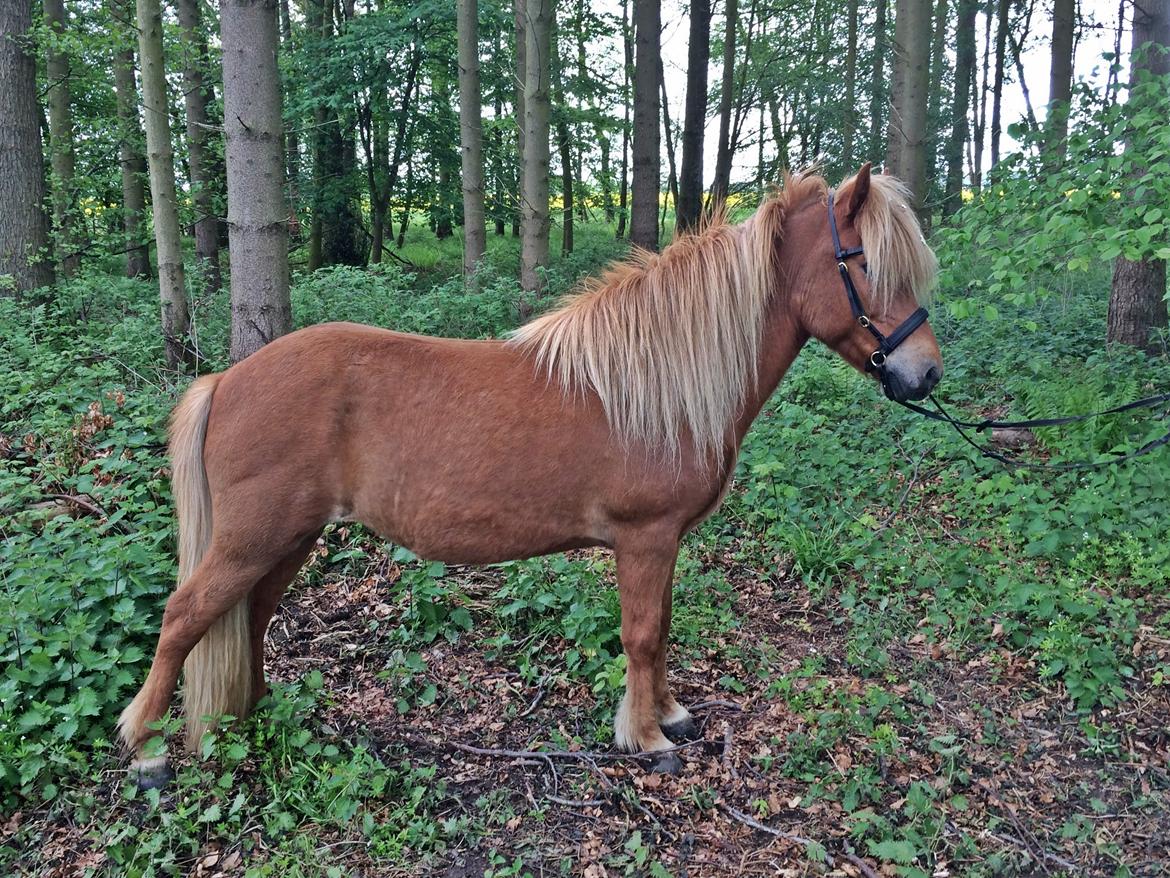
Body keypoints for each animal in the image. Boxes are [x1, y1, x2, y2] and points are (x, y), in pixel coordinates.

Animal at [116, 163, 940, 782]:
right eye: (862, 262)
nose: (925, 374)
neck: (658, 384)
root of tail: (227, 379)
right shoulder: (645, 539)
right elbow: (642, 633)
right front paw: (648, 740)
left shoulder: (666, 543)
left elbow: (664, 626)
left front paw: (669, 714)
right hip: (254, 537)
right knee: (183, 617)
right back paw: (148, 750)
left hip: (289, 539)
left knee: (250, 617)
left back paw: (256, 713)